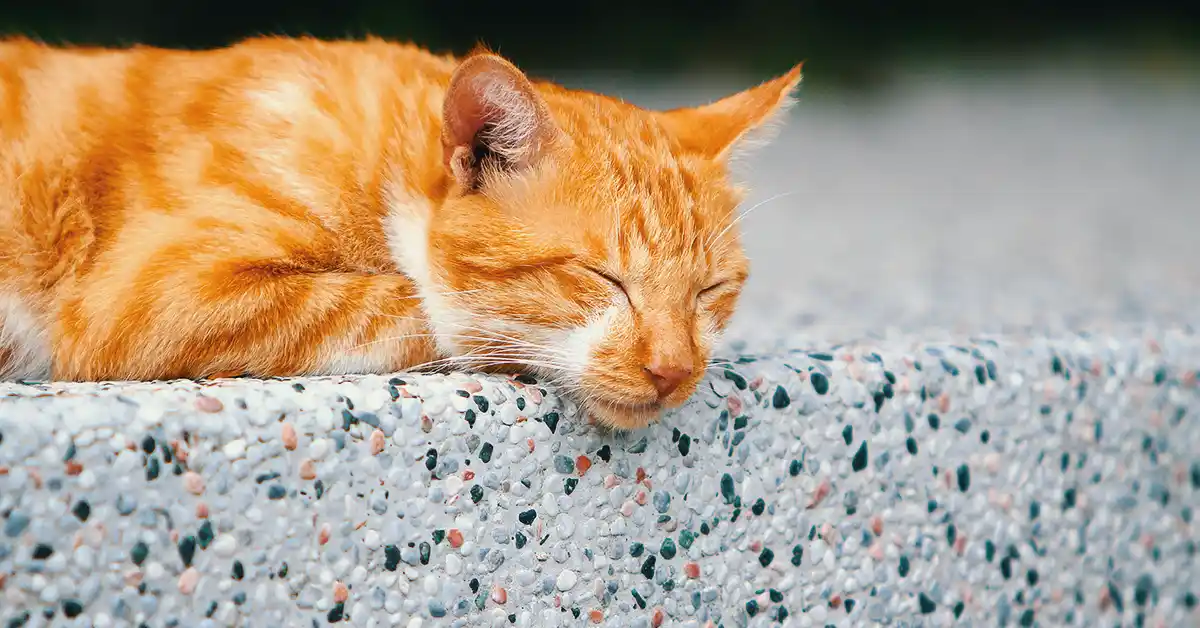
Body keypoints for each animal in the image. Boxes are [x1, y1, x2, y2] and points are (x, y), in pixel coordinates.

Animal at [2, 36, 806, 429]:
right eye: (602, 278)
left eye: (711, 290)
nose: (674, 371)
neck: (381, 155)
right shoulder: (154, 294)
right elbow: (405, 300)